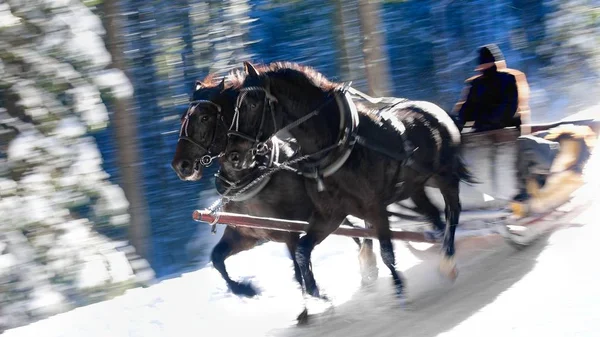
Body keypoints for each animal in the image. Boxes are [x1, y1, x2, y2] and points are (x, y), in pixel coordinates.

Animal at [170, 77, 376, 298]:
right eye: (183, 118)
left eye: (205, 117)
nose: (180, 165)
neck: (249, 178)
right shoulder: (246, 235)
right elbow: (216, 258)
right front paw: (245, 289)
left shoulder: (290, 232)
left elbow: (299, 273)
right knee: (356, 233)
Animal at [232, 60, 476, 302]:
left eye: (252, 104)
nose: (235, 153)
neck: (339, 145)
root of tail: (439, 111)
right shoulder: (331, 215)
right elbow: (302, 250)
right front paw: (315, 291)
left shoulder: (375, 207)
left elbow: (387, 252)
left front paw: (398, 289)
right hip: (416, 186)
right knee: (434, 213)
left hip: (444, 176)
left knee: (452, 211)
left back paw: (447, 259)